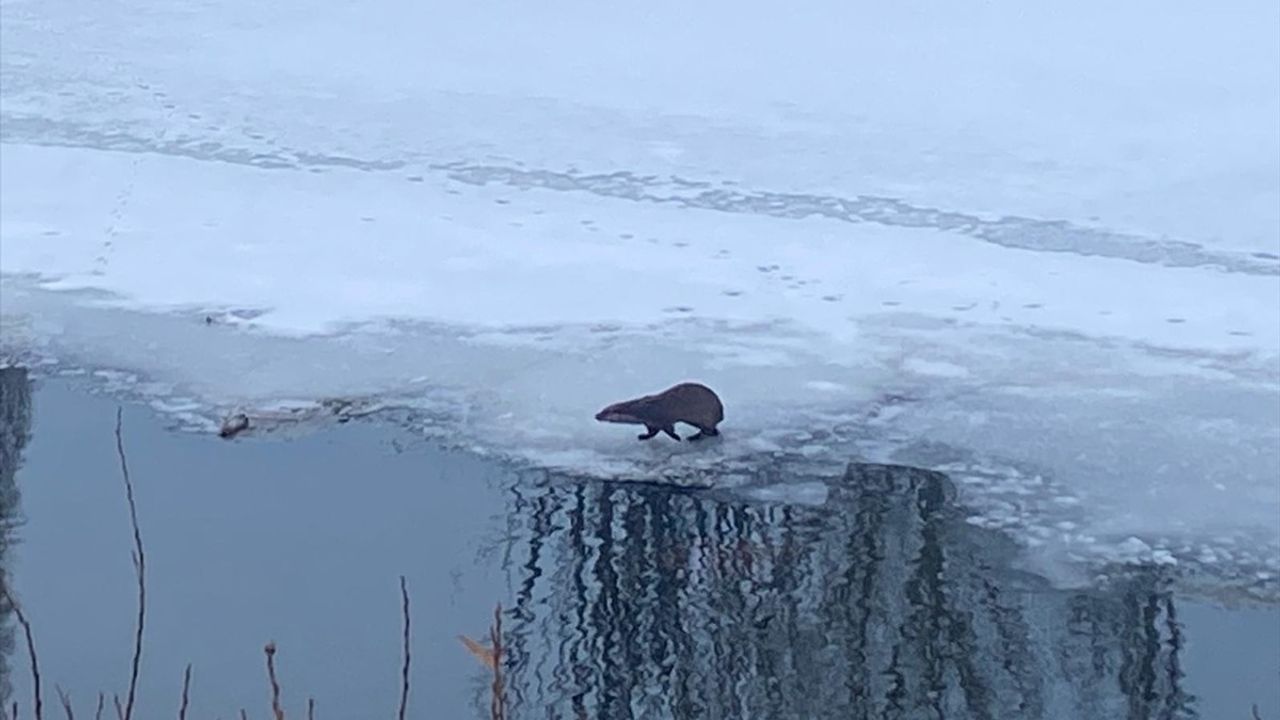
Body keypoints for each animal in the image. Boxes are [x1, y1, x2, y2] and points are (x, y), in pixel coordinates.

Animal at [593, 379, 727, 440]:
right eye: (602, 409)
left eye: (605, 412)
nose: (596, 415)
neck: (642, 410)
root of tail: (721, 413)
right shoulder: (650, 422)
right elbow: (652, 432)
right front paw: (643, 436)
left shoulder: (661, 419)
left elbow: (668, 430)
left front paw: (677, 438)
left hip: (706, 417)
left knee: (710, 431)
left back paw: (693, 438)